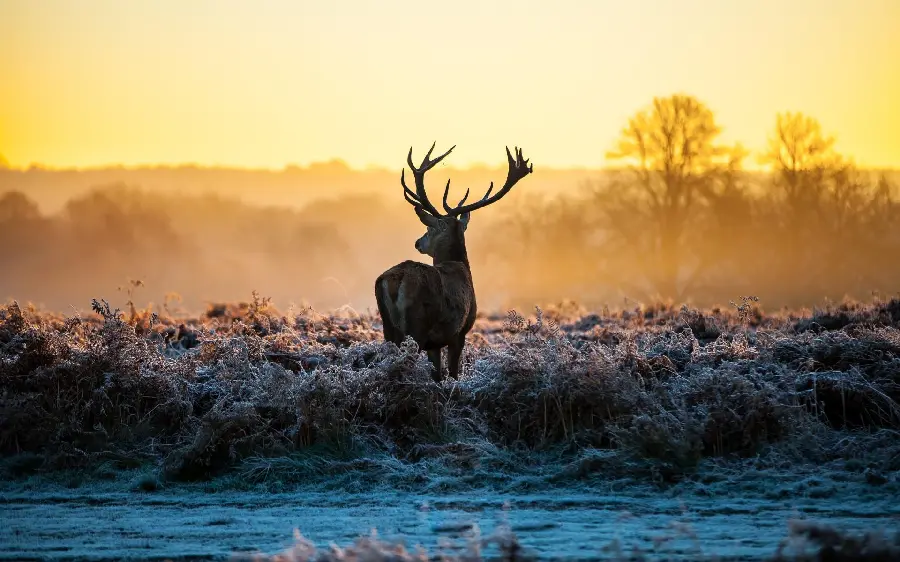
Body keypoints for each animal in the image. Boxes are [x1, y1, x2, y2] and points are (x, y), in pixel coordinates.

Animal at [374, 142, 536, 382]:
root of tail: (395, 279)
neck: (460, 266)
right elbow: (452, 373)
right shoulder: (459, 332)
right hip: (417, 325)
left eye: (429, 228)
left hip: (388, 327)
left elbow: (438, 374)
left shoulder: (435, 343)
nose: (418, 242)